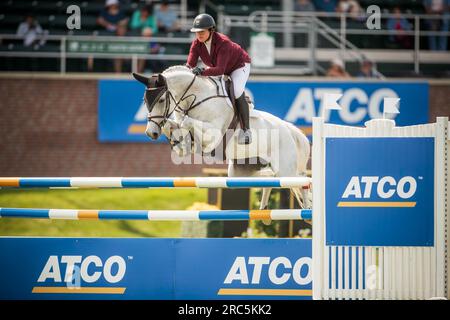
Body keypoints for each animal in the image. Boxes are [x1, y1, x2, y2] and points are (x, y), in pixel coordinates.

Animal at [132, 65, 312, 210]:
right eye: (144, 101)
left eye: (161, 99)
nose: (151, 133)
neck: (196, 99)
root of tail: (289, 129)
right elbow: (174, 127)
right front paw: (177, 142)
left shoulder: (213, 135)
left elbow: (187, 122)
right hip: (240, 171)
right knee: (270, 177)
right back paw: (265, 208)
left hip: (285, 170)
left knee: (302, 180)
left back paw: (308, 209)